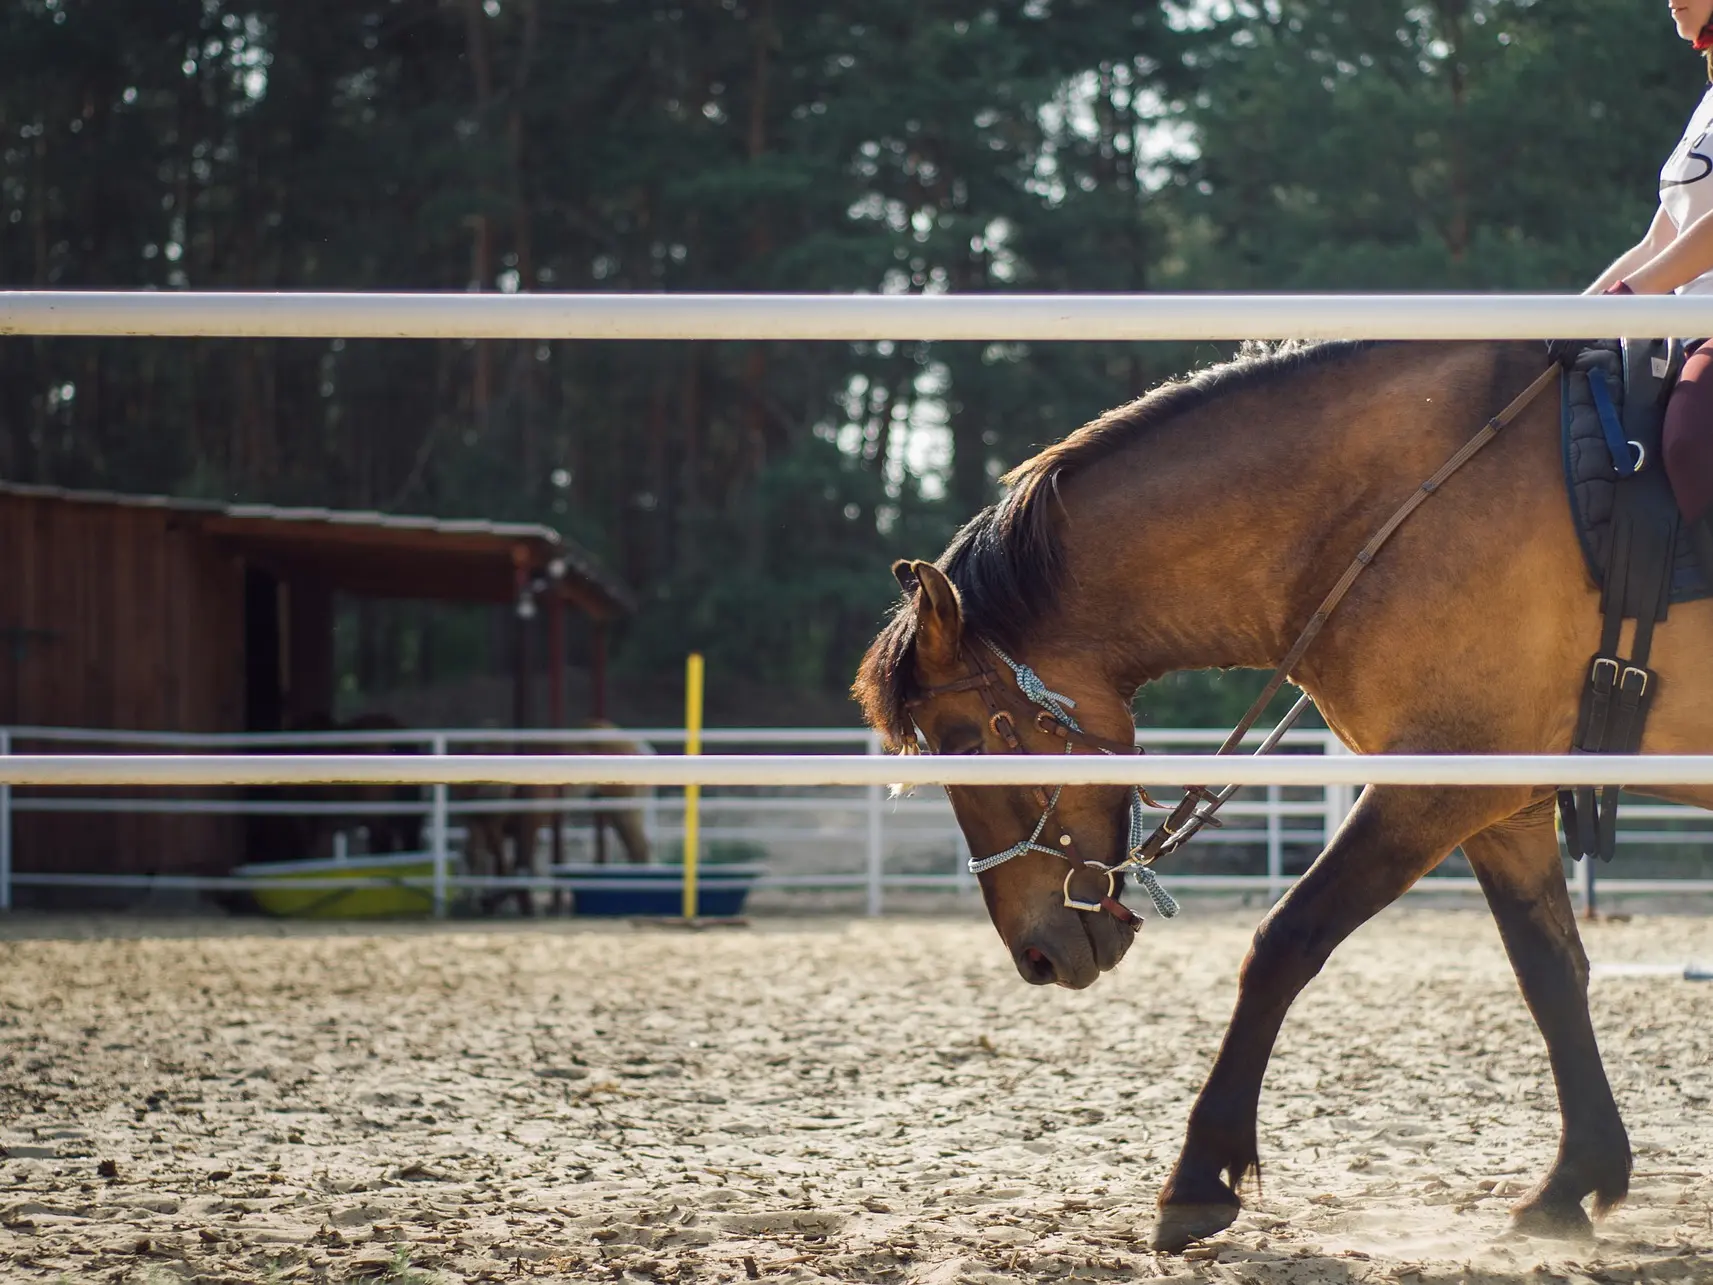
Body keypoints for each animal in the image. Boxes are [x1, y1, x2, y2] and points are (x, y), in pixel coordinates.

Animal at [853, 339, 1713, 1261]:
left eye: (964, 743)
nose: (1037, 954)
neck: (1410, 496)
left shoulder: (1433, 787)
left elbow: (1284, 941)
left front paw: (1196, 1178)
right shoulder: (1498, 803)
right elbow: (1549, 971)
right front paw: (1570, 1182)